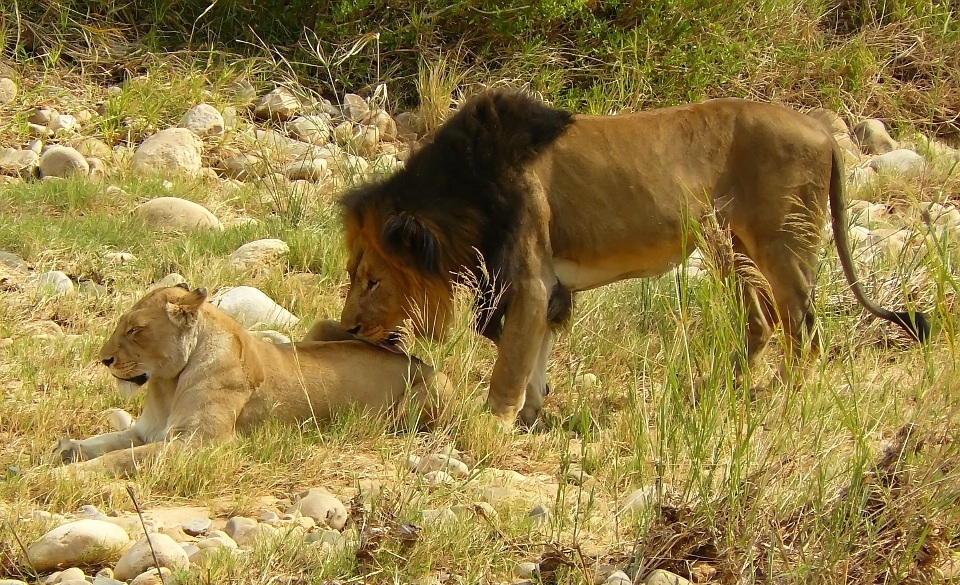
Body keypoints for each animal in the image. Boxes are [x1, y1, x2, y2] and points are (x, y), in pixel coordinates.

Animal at [340, 92, 928, 428]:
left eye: (371, 281)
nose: (347, 330)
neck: (465, 195)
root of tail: (825, 132)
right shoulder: (550, 287)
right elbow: (537, 353)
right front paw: (531, 413)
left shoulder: (528, 278)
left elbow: (509, 363)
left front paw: (490, 427)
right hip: (729, 243)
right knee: (762, 320)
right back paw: (720, 393)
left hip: (780, 242)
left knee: (801, 323)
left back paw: (784, 398)